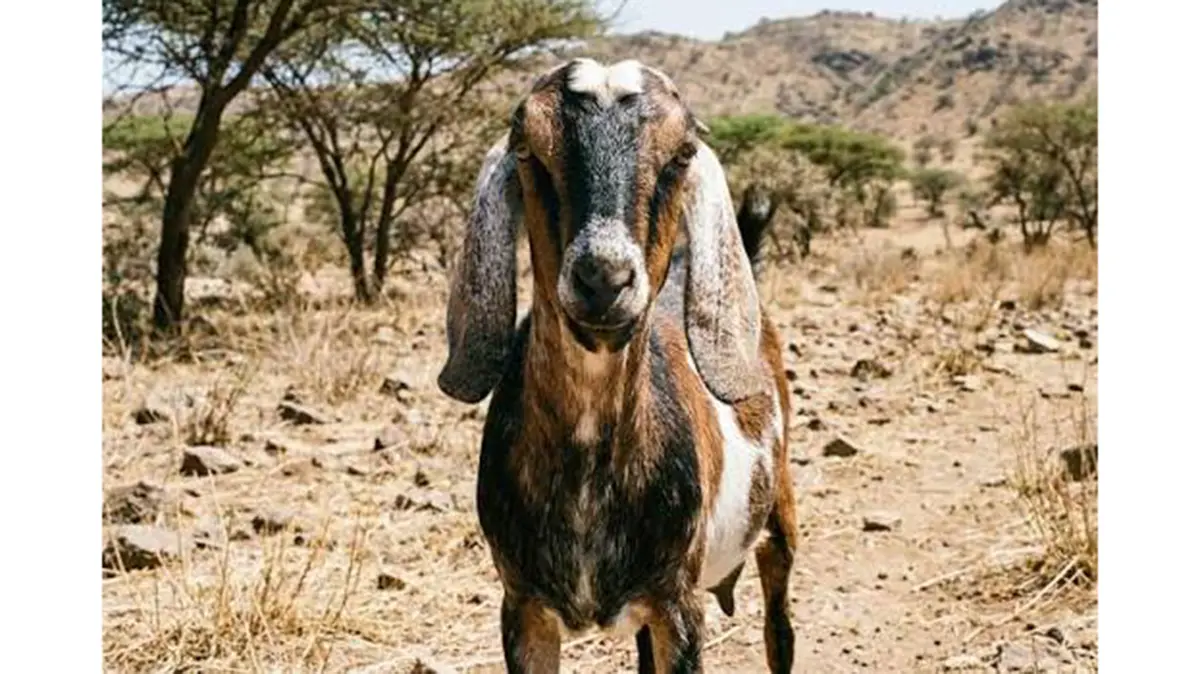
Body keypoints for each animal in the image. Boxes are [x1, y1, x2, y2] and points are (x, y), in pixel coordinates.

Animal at [438, 58, 798, 673]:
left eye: (682, 152)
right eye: (527, 148)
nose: (604, 279)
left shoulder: (678, 606)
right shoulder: (523, 609)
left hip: (779, 522)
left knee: (781, 632)